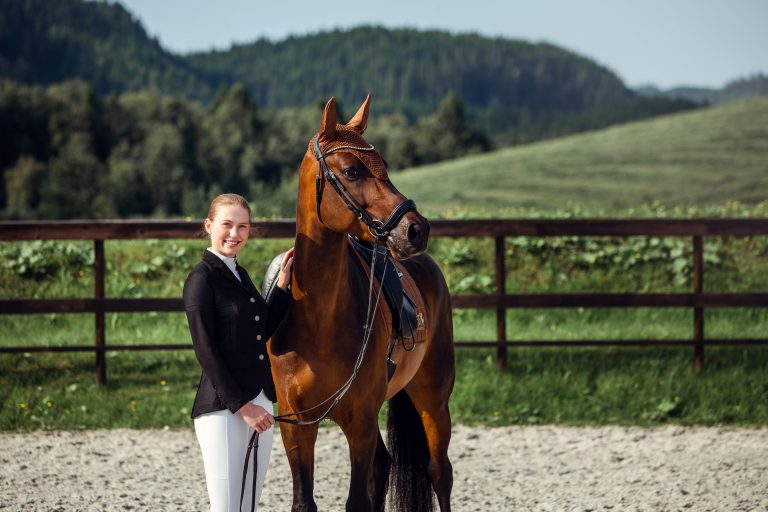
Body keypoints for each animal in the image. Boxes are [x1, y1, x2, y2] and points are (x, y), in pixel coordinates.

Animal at [268, 95, 455, 512]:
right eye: (352, 171)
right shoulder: (296, 426)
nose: (416, 229)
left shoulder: (361, 420)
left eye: (384, 165)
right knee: (384, 465)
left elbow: (357, 501)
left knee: (440, 473)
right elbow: (304, 500)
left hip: (433, 400)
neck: (319, 318)